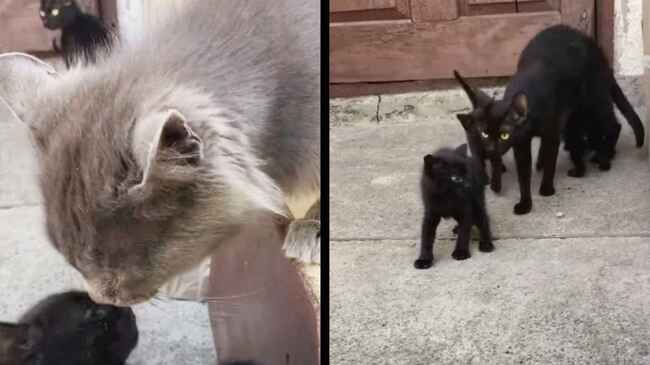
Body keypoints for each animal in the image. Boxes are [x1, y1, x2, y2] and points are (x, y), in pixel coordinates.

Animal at [454, 25, 640, 215]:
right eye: (484, 133)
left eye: (504, 135)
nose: (490, 149)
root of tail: (588, 39)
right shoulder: (521, 144)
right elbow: (523, 175)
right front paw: (525, 204)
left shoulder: (552, 134)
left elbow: (551, 162)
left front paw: (546, 189)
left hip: (595, 99)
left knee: (613, 125)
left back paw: (605, 157)